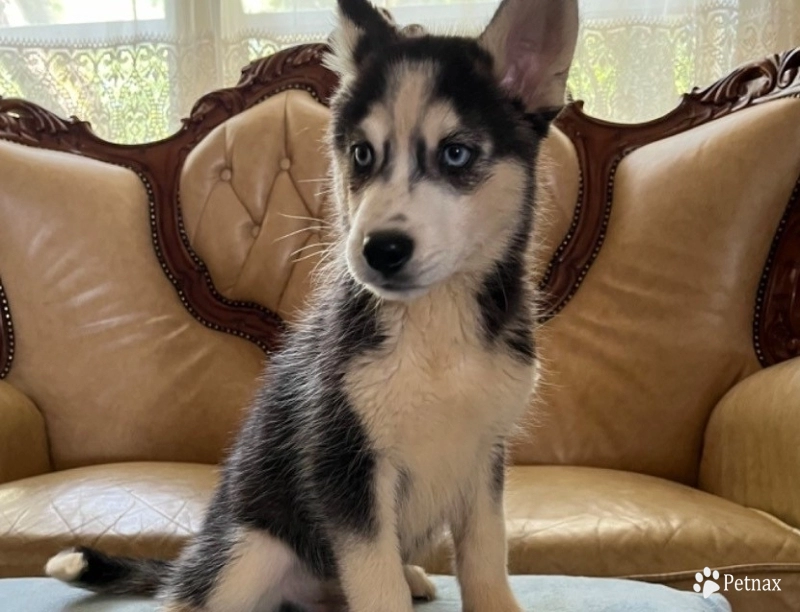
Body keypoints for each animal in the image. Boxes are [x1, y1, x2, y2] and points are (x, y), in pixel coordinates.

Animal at [45, 1, 576, 612]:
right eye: (362, 154)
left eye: (456, 152)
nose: (380, 249)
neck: (434, 330)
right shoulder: (343, 463)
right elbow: (376, 584)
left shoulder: (484, 456)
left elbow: (487, 558)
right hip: (249, 551)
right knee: (195, 594)